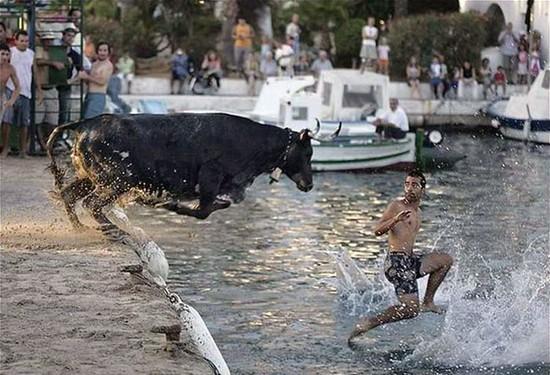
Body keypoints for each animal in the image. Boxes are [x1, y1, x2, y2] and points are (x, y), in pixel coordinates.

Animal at [49, 111, 316, 238]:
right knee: (92, 203)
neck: (252, 142)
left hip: (91, 178)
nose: (310, 184)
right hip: (119, 180)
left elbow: (216, 206)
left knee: (69, 195)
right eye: (307, 153)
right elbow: (204, 211)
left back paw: (80, 228)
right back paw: (117, 230)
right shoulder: (210, 178)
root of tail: (86, 124)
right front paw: (170, 205)